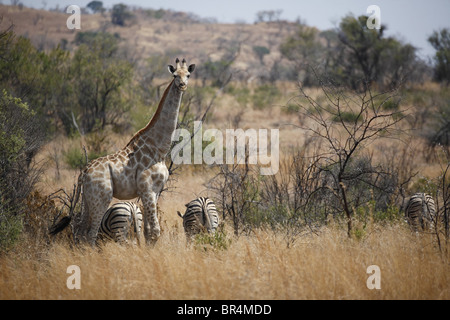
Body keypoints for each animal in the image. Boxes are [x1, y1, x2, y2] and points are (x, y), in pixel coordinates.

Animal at [72, 58, 195, 245]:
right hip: (101, 197)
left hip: (87, 199)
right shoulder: (147, 188)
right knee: (91, 234)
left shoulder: (155, 191)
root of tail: (83, 173)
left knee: (80, 230)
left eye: (188, 74)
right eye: (175, 75)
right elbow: (156, 231)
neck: (159, 148)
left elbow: (148, 232)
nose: (182, 85)